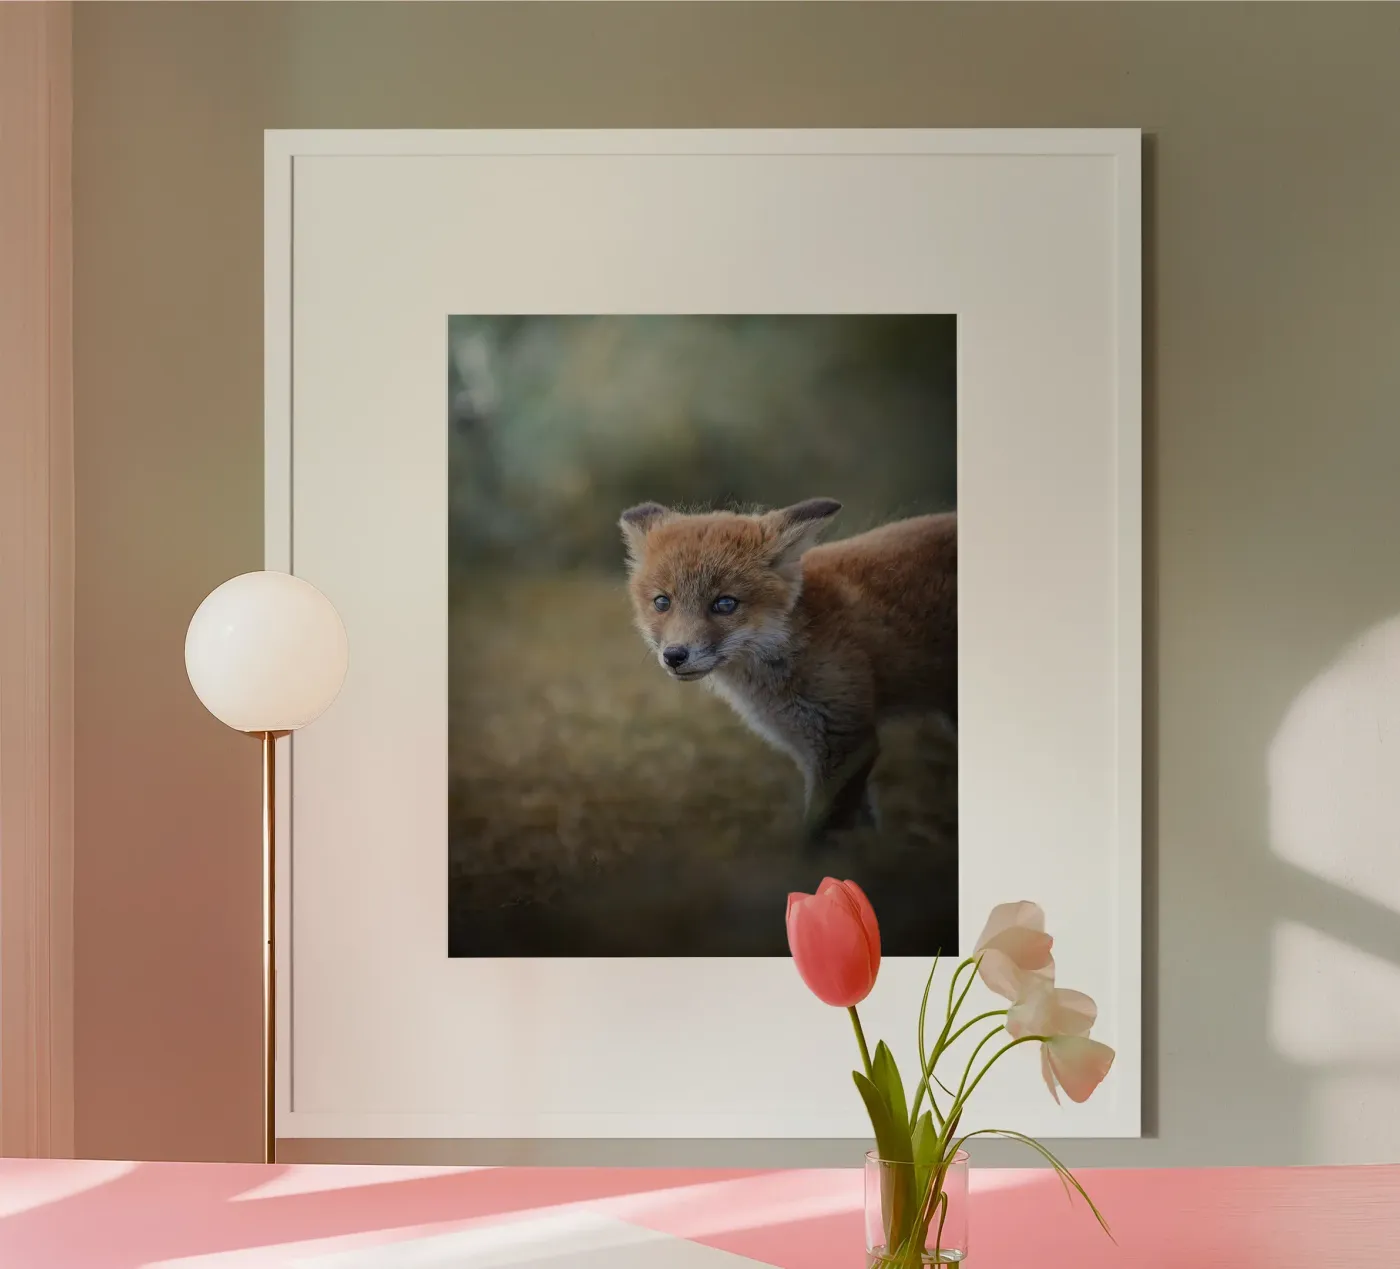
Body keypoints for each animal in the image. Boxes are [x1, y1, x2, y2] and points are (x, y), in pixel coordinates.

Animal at [619, 498, 956, 841]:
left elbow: (821, 833)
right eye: (662, 602)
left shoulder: (844, 739)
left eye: (725, 604)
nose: (674, 655)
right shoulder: (813, 747)